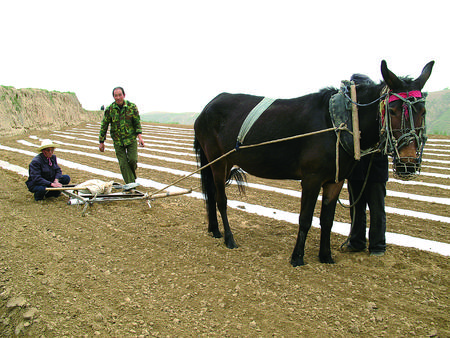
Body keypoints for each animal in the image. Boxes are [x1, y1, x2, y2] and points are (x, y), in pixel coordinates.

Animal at [193, 60, 432, 266]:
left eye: (422, 111)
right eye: (392, 110)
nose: (408, 164)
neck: (339, 122)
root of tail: (207, 107)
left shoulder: (335, 180)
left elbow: (327, 220)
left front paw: (325, 256)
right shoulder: (311, 179)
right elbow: (305, 218)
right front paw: (297, 257)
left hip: (224, 163)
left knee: (212, 193)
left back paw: (215, 230)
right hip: (216, 161)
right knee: (221, 200)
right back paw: (229, 238)